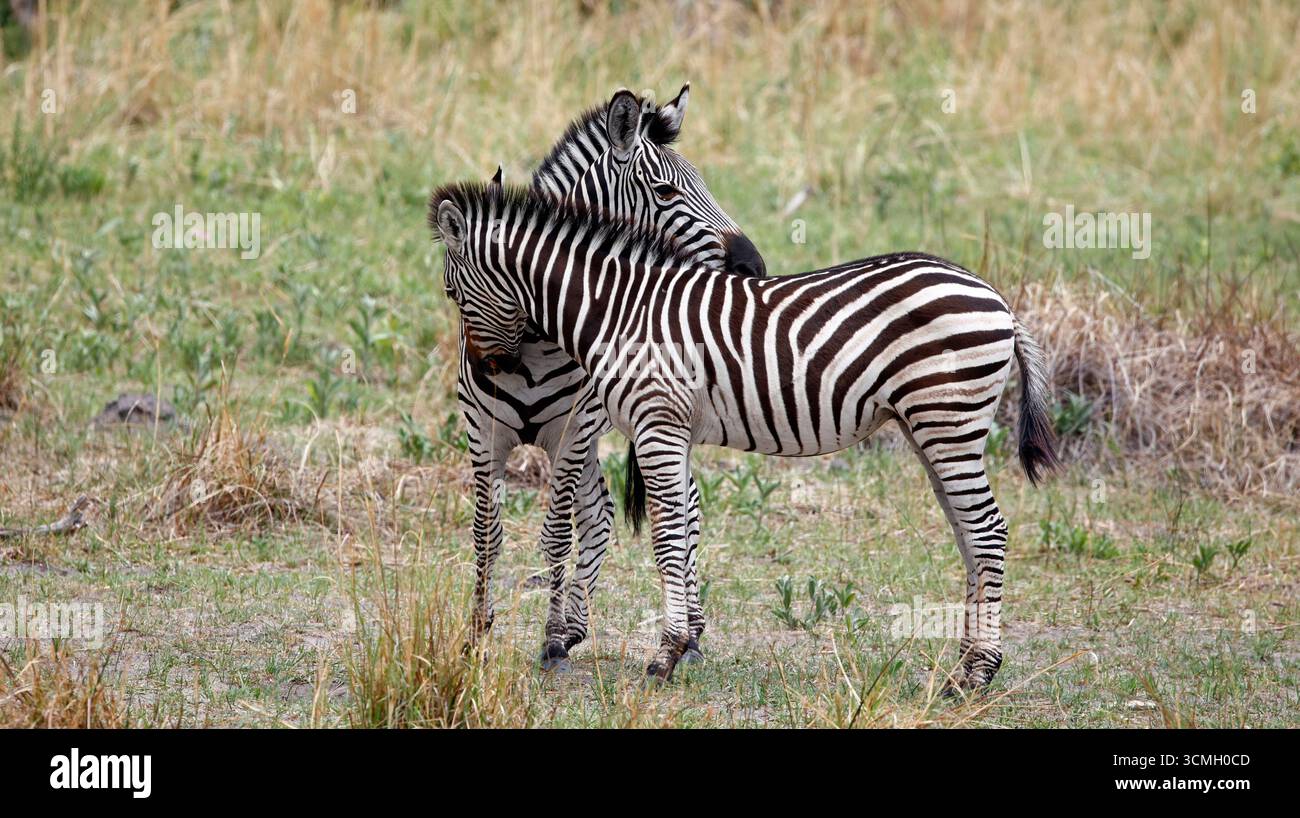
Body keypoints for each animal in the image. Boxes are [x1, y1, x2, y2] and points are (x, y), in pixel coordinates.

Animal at [430, 181, 1060, 690]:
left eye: (452, 294)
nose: (487, 373)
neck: (619, 312)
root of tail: (998, 300)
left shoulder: (657, 425)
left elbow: (666, 539)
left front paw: (663, 657)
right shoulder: (673, 429)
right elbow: (682, 530)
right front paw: (682, 645)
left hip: (948, 420)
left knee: (988, 532)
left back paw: (977, 675)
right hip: (930, 426)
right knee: (968, 536)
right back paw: (963, 667)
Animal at [456, 85, 765, 671]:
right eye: (665, 191)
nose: (753, 266)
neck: (533, 341)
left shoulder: (573, 427)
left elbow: (558, 533)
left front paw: (551, 638)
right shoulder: (485, 430)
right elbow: (489, 534)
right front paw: (476, 639)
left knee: (683, 505)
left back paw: (689, 634)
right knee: (602, 513)